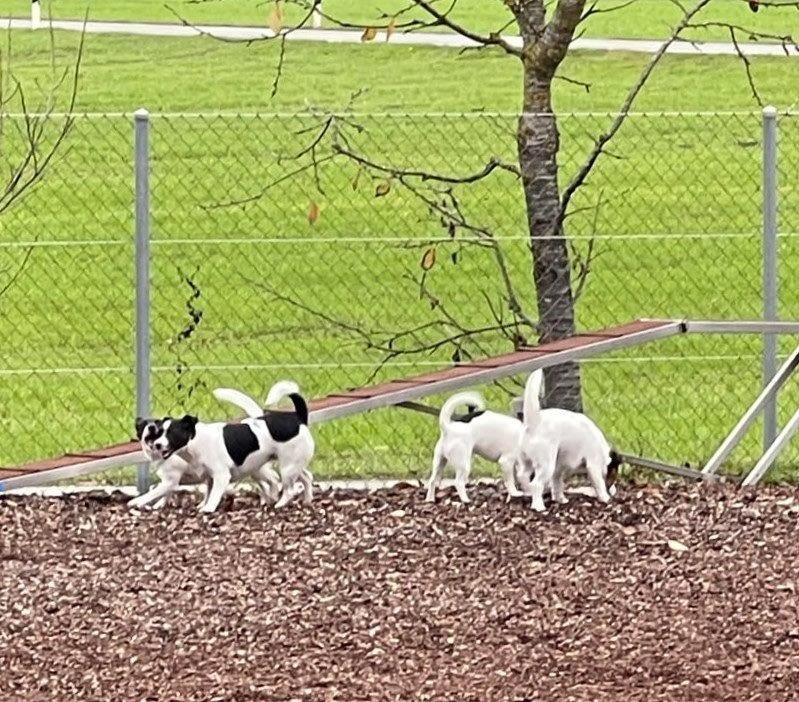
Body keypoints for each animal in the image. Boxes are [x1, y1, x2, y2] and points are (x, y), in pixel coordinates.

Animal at [129, 380, 314, 513]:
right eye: (159, 432)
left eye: (172, 434)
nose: (157, 444)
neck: (196, 442)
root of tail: (298, 417)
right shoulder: (209, 477)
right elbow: (208, 491)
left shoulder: (218, 475)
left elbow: (213, 494)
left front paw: (208, 509)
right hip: (289, 464)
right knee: (306, 477)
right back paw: (306, 500)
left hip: (287, 467)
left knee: (289, 489)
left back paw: (280, 504)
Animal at [516, 369, 621, 512]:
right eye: (613, 475)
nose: (613, 492)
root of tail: (534, 422)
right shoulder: (593, 465)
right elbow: (598, 483)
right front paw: (605, 498)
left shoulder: (558, 469)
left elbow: (557, 483)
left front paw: (560, 499)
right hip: (546, 464)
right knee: (536, 484)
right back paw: (539, 506)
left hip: (526, 461)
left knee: (522, 476)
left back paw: (528, 492)